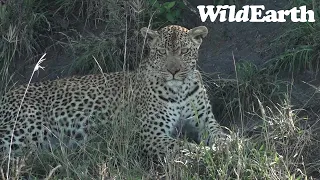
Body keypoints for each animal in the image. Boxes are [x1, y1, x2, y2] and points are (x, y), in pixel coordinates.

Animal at [0, 25, 230, 158]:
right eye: (161, 52)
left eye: (183, 51)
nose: (173, 71)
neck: (180, 89)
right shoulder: (151, 134)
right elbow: (184, 146)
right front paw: (210, 153)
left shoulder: (206, 122)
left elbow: (220, 135)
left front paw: (231, 145)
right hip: (25, 128)